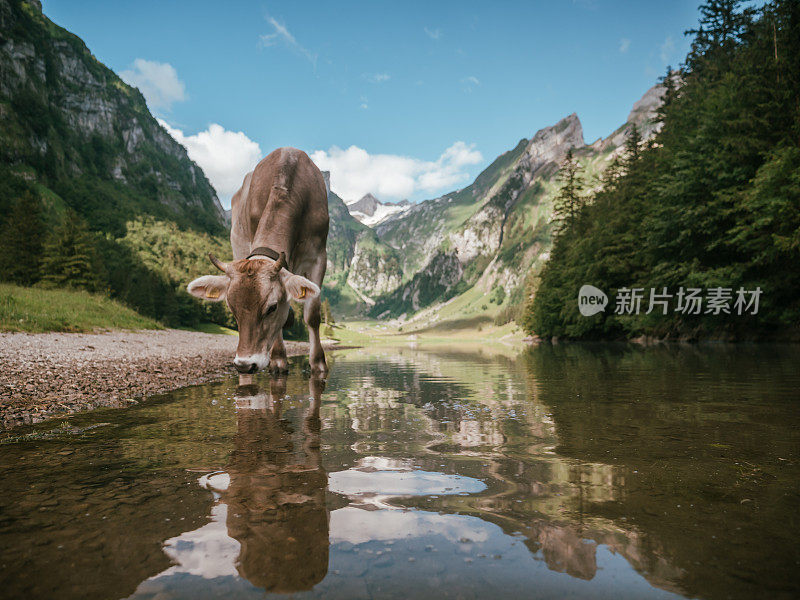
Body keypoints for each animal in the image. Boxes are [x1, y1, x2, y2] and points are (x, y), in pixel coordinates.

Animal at [189, 148, 330, 372]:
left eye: (272, 308)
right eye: (232, 308)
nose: (245, 365)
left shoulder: (318, 256)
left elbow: (313, 314)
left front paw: (318, 363)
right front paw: (278, 360)